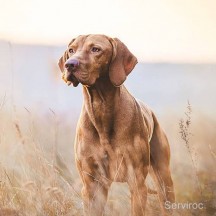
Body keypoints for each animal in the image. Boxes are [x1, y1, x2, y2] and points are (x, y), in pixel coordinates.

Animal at [58, 34, 175, 215]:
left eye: (96, 49)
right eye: (71, 50)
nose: (69, 64)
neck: (101, 108)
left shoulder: (137, 182)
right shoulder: (91, 186)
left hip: (164, 179)